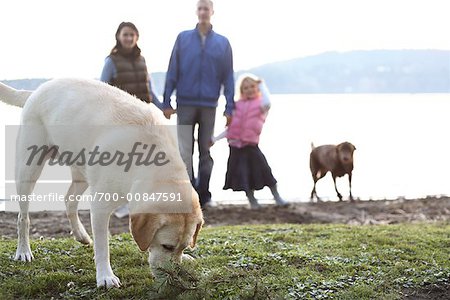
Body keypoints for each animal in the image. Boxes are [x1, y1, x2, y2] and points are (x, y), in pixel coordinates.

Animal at [0, 78, 204, 288]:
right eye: (167, 246)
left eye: (183, 247)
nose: (175, 278)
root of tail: (37, 90)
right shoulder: (100, 206)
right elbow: (103, 245)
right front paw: (105, 276)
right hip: (28, 171)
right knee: (23, 217)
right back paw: (23, 251)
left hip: (83, 173)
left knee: (69, 199)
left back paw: (80, 234)